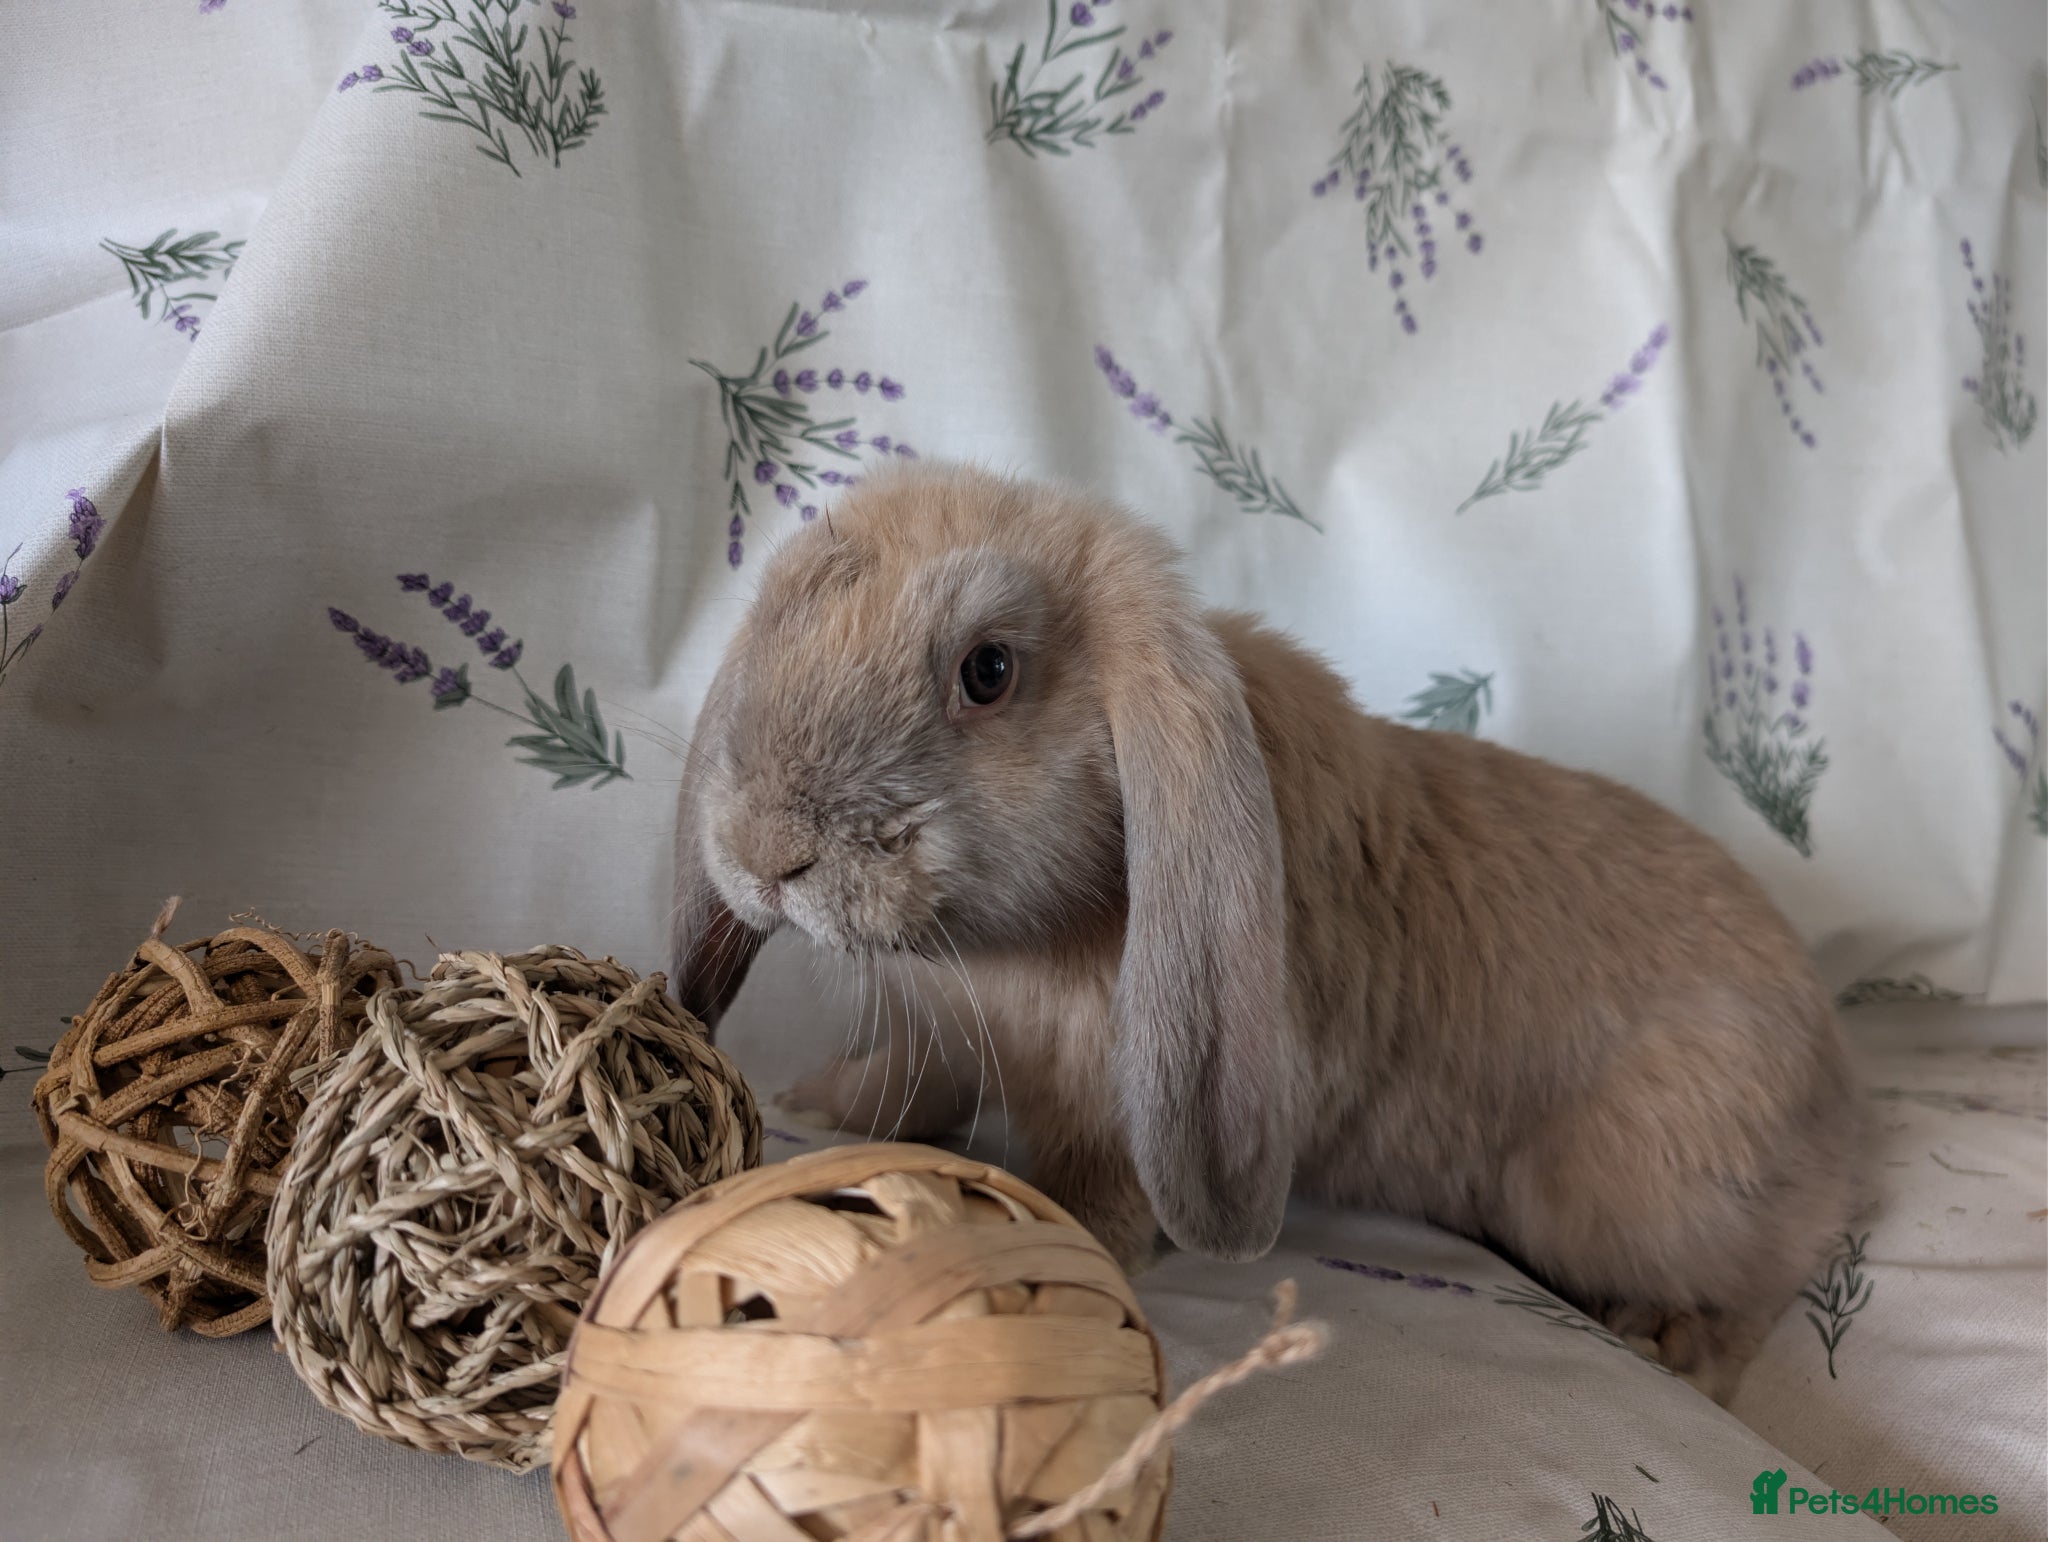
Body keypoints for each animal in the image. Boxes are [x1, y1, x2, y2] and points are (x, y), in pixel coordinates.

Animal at [670, 461, 1862, 1403]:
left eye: (988, 670)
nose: (763, 851)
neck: (1017, 945)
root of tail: (1832, 1072)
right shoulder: (947, 1032)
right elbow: (909, 1087)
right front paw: (821, 1106)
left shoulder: (1112, 1100)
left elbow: (1094, 1186)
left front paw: (1066, 1251)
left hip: (1617, 1194)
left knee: (1778, 1260)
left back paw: (1672, 1341)